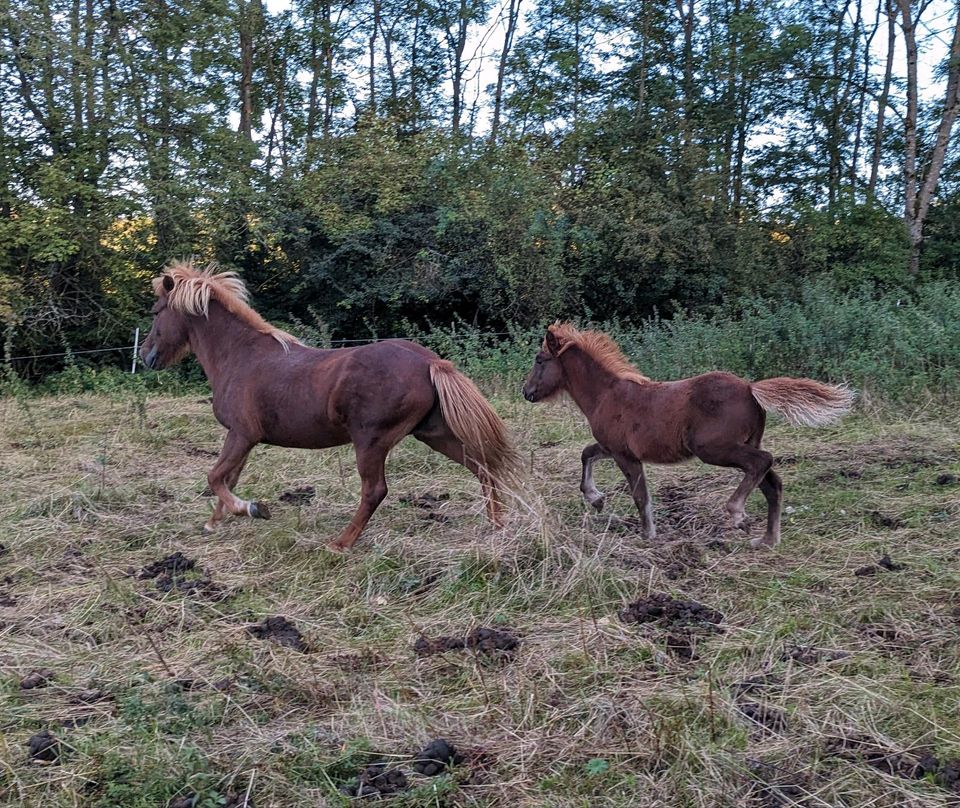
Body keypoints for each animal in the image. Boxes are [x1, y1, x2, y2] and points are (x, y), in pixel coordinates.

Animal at [137, 262, 516, 552]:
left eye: (155, 312)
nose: (144, 356)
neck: (240, 356)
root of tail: (430, 362)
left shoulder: (243, 434)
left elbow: (216, 476)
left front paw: (253, 509)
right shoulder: (243, 439)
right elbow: (228, 477)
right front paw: (215, 522)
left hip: (371, 441)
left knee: (375, 491)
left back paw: (341, 543)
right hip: (434, 434)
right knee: (482, 468)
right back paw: (497, 526)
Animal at [524, 324, 856, 548]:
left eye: (539, 359)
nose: (526, 392)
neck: (607, 394)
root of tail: (751, 388)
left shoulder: (624, 454)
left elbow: (640, 495)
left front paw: (647, 534)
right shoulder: (613, 447)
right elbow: (586, 453)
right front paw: (596, 499)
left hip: (714, 448)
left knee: (762, 462)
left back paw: (737, 513)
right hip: (744, 443)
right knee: (771, 482)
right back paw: (767, 539)